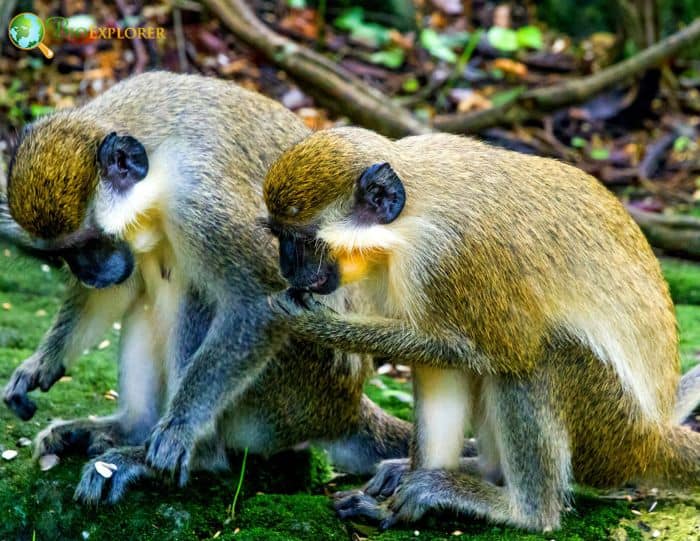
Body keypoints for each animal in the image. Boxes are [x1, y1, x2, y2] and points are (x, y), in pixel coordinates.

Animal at [1, 73, 414, 504]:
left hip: (292, 391)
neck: (158, 162)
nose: (89, 274)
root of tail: (344, 406)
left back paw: (183, 456)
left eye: (91, 242)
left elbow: (258, 305)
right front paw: (41, 363)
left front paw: (179, 430)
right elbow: (116, 292)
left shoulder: (204, 203)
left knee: (195, 296)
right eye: (63, 253)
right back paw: (128, 429)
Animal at [261, 126, 700, 532]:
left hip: (609, 431)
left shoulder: (451, 259)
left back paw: (524, 511)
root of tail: (652, 438)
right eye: (278, 237)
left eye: (301, 242)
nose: (287, 269)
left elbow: (506, 350)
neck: (408, 221)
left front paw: (317, 323)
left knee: (537, 360)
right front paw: (397, 501)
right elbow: (441, 367)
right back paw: (472, 472)